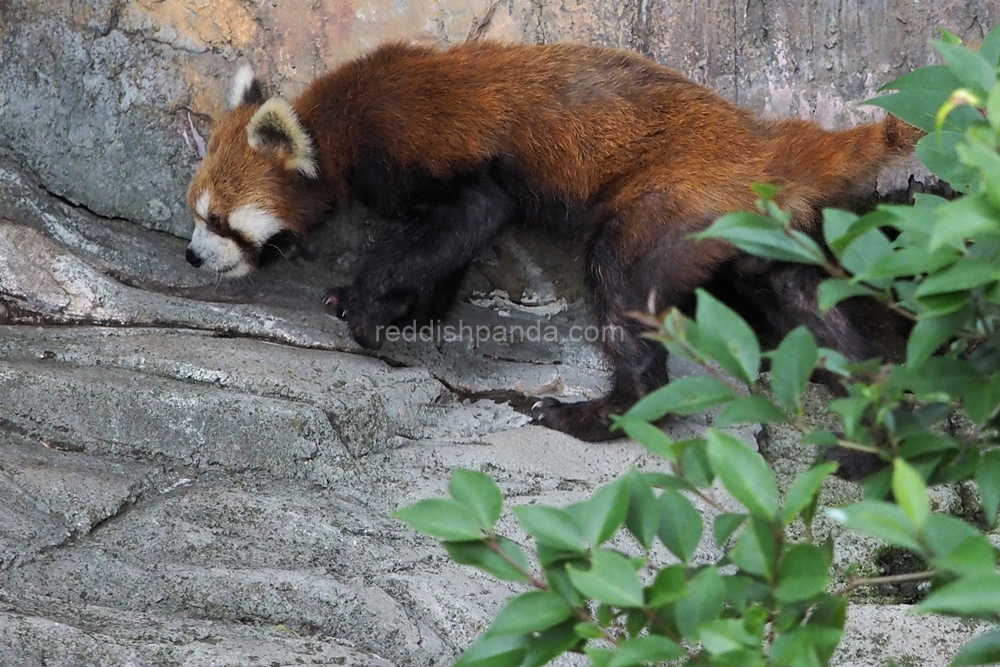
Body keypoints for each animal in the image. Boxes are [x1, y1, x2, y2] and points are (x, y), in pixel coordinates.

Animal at [184, 39, 916, 440]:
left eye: (220, 222)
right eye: (195, 213)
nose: (191, 255)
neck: (339, 124)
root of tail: (766, 141)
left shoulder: (429, 154)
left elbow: (465, 219)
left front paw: (365, 303)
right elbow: (448, 250)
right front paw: (412, 307)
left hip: (667, 203)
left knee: (622, 293)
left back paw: (603, 414)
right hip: (760, 236)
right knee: (808, 307)